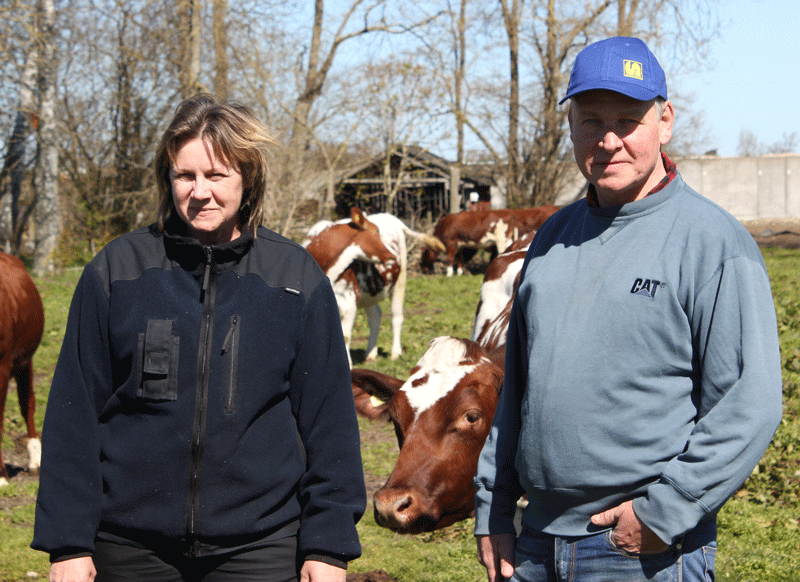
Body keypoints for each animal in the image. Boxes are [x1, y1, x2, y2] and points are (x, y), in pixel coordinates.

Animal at [304, 208, 446, 368]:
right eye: (377, 231)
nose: (392, 255)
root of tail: (390, 217)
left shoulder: (349, 300)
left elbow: (345, 336)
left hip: (400, 281)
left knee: (397, 316)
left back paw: (396, 353)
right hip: (369, 291)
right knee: (376, 316)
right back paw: (371, 353)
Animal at [418, 205, 556, 278]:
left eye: (423, 255)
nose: (422, 270)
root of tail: (508, 212)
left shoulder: (451, 243)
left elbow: (451, 259)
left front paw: (449, 274)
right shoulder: (460, 245)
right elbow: (459, 259)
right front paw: (460, 273)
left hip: (502, 240)